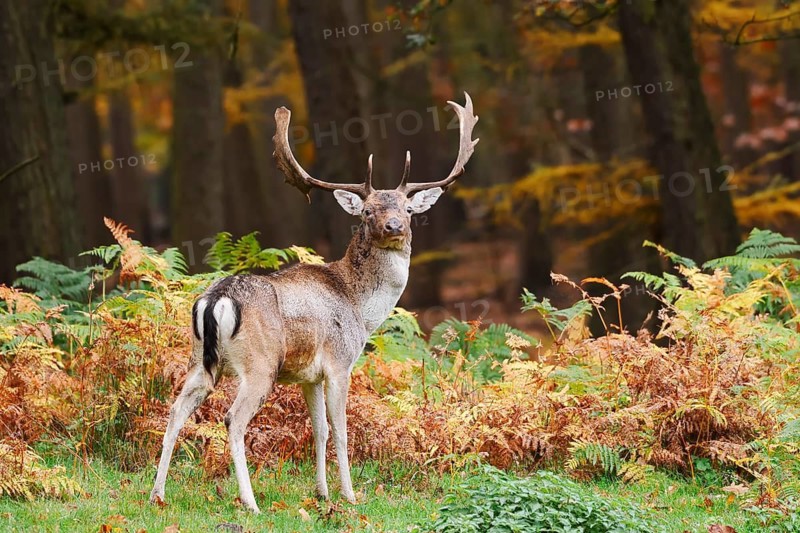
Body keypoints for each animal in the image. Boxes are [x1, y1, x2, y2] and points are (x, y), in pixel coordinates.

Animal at [149, 93, 479, 513]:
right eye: (367, 211)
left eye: (407, 209)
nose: (394, 227)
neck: (360, 306)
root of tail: (216, 300)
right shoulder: (340, 362)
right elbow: (340, 430)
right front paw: (349, 495)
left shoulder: (310, 375)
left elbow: (319, 430)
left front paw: (321, 493)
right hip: (260, 363)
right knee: (232, 419)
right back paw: (250, 503)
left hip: (199, 360)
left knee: (175, 410)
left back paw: (157, 494)